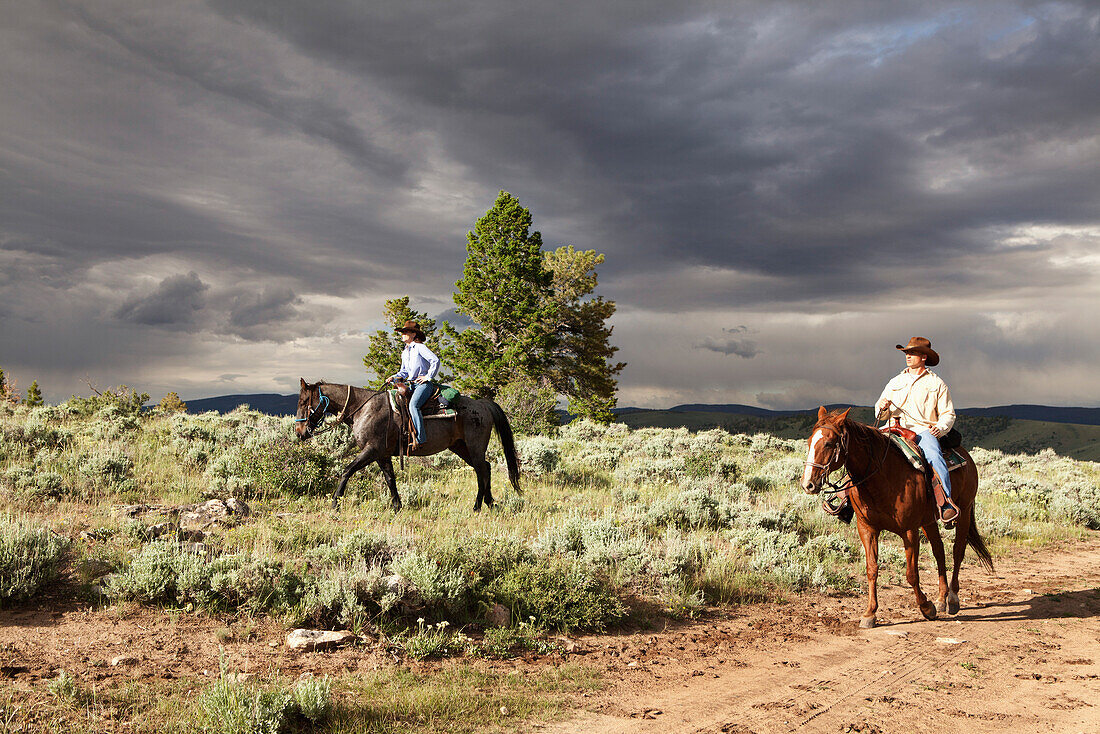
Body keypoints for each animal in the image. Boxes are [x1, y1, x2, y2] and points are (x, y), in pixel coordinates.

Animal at [294, 382, 521, 515]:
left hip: (474, 446)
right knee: (485, 468)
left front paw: (335, 504)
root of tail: (482, 404)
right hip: (461, 447)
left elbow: (346, 471)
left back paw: (477, 506)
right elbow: (390, 479)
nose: (299, 432)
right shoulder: (382, 454)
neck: (364, 408)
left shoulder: (371, 450)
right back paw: (490, 503)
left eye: (304, 401)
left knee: (482, 470)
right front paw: (397, 507)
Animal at [800, 404, 998, 629]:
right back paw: (941, 598)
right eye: (809, 441)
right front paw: (870, 613)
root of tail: (966, 455)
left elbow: (911, 574)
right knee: (939, 551)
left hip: (963, 512)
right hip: (929, 521)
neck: (881, 477)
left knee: (957, 552)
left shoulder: (909, 531)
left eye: (829, 443)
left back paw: (953, 599)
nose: (807, 484)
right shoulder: (867, 528)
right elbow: (871, 569)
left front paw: (926, 608)